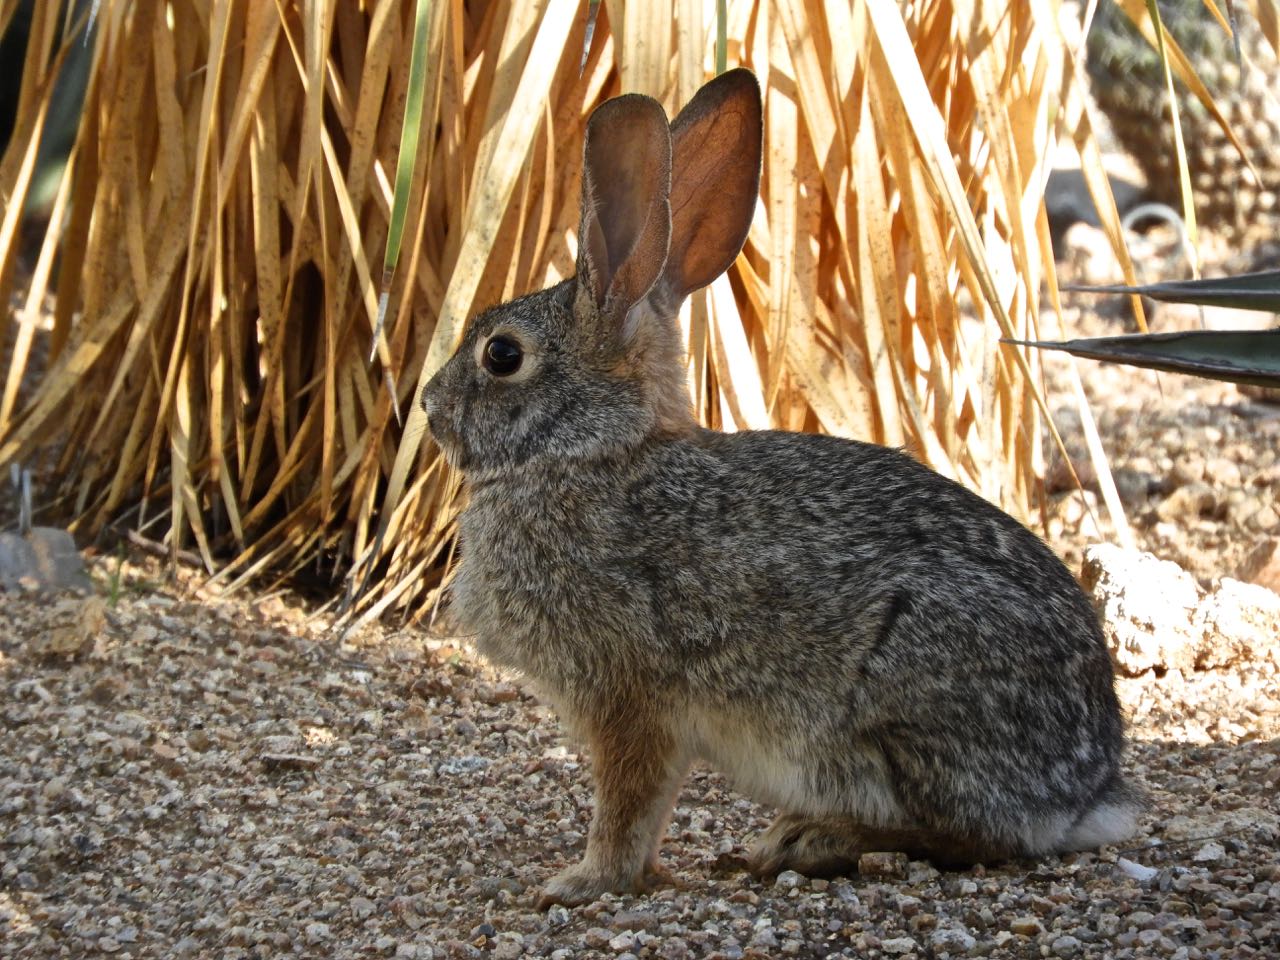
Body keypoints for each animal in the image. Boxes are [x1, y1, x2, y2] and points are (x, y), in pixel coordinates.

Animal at [420, 68, 1138, 909]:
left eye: (502, 355)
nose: (429, 406)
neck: (590, 451)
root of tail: (1086, 791)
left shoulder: (629, 698)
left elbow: (629, 804)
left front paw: (581, 882)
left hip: (899, 703)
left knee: (972, 835)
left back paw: (807, 841)